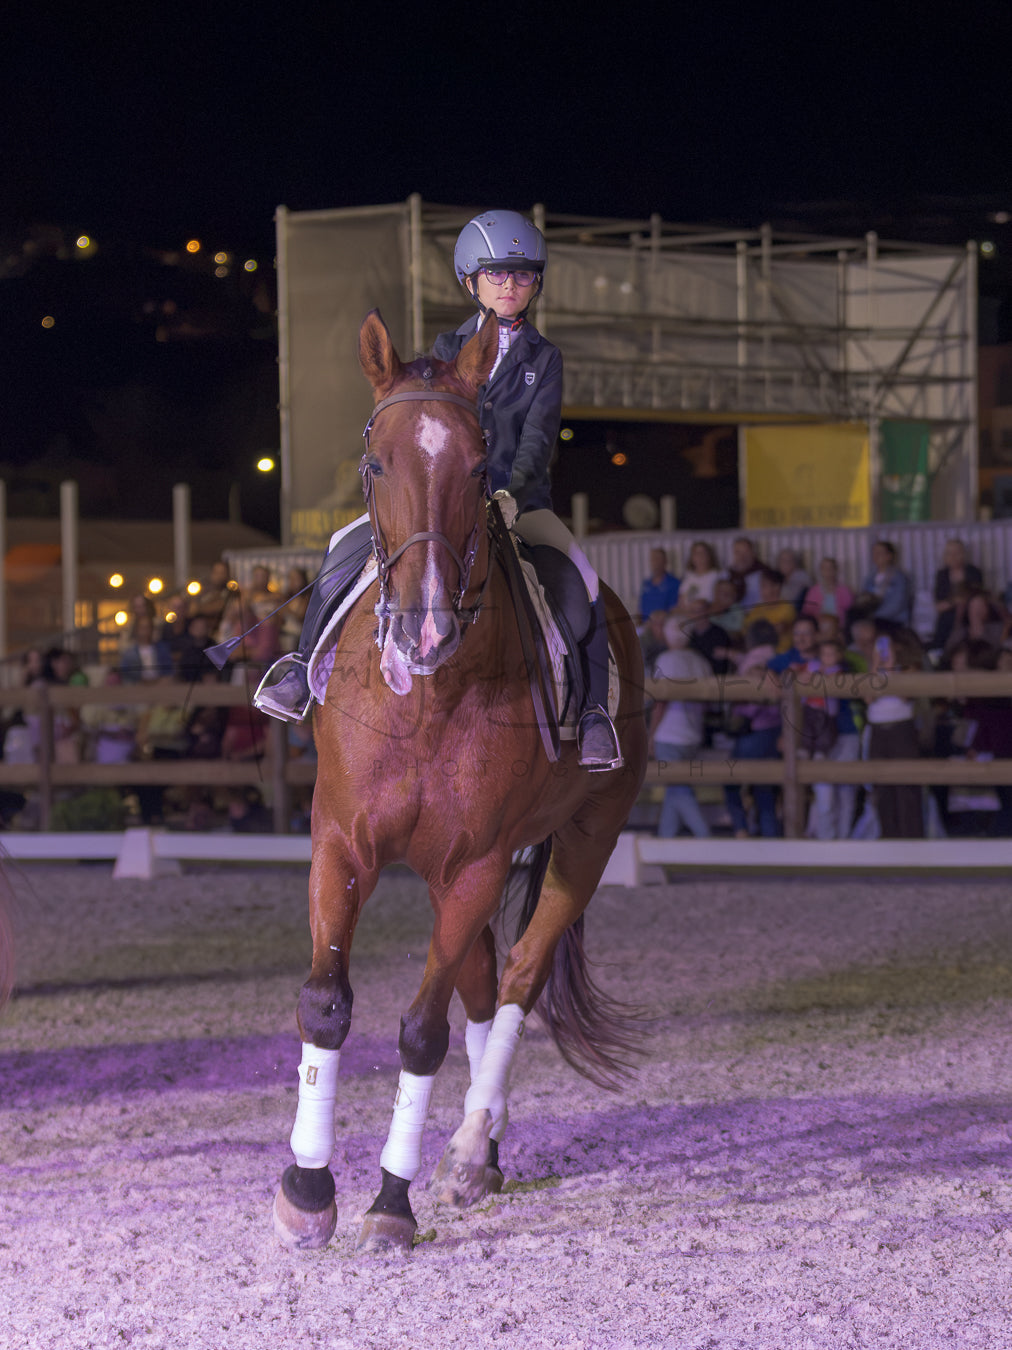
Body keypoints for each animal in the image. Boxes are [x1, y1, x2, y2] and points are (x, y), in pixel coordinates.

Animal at [273, 310, 648, 1254]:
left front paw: (388, 1202)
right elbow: (326, 1004)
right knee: (482, 988)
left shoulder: (476, 862)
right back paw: (477, 1151)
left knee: (514, 979)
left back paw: (474, 1147)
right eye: (375, 463)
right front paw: (306, 1191)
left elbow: (420, 1033)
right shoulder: (342, 844)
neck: (431, 694)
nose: (426, 629)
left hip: (582, 841)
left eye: (481, 469)